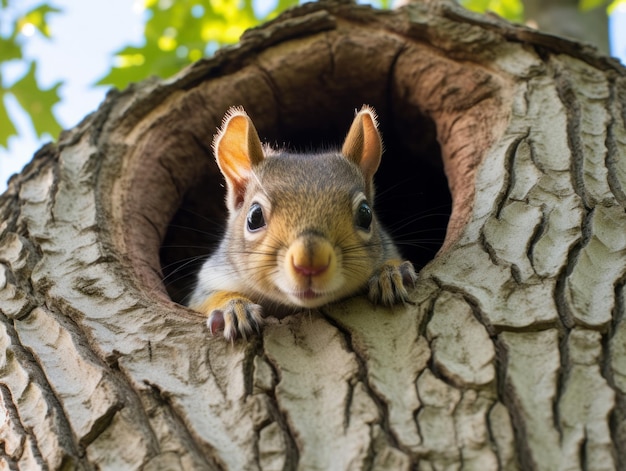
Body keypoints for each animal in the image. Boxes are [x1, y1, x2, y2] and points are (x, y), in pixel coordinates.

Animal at [188, 105, 416, 342]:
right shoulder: (212, 276)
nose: (310, 263)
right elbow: (205, 298)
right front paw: (233, 308)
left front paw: (389, 272)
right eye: (254, 217)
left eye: (365, 214)